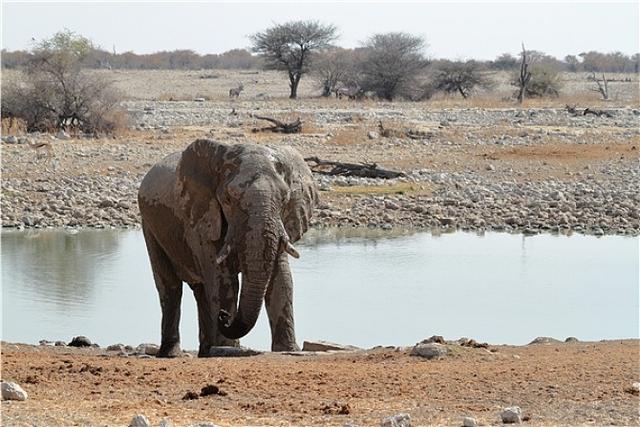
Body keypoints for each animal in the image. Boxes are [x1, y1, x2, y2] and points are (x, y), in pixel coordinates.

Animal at [141, 140, 320, 358]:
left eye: (285, 199)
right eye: (228, 200)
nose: (224, 317)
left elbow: (281, 279)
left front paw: (287, 350)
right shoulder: (204, 219)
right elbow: (223, 281)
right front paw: (229, 349)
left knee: (201, 290)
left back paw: (206, 351)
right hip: (149, 225)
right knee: (171, 287)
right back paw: (172, 353)